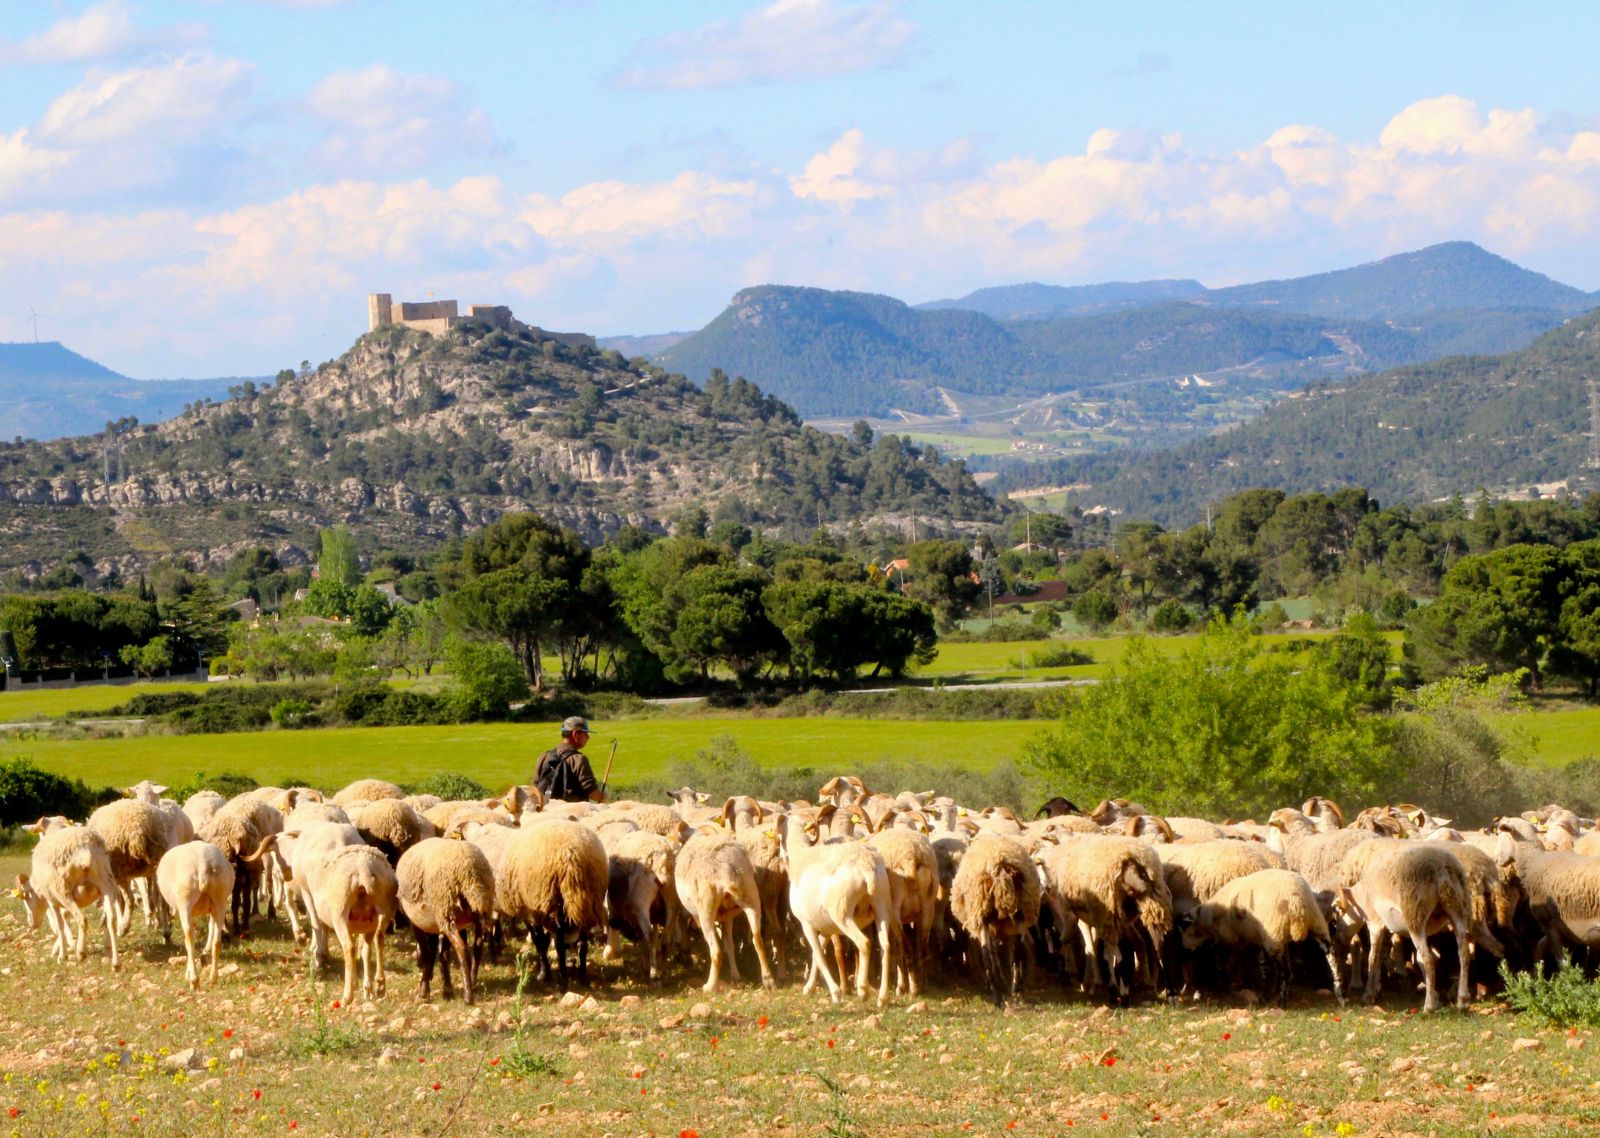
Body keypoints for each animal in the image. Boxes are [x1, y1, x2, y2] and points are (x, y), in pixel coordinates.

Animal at [13, 819, 119, 973]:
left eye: (25, 897)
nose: (31, 924)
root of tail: (85, 849)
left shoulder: (51, 900)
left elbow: (60, 925)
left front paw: (62, 955)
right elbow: (65, 921)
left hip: (63, 890)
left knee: (82, 918)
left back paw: (81, 952)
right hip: (106, 882)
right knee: (111, 920)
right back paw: (116, 963)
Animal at [154, 838, 233, 992]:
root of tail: (203, 862)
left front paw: (188, 973)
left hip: (186, 902)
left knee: (189, 939)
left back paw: (194, 981)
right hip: (220, 901)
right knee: (217, 941)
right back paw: (213, 977)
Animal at [499, 819, 604, 985]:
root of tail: (569, 857)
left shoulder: (532, 912)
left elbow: (540, 941)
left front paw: (544, 974)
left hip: (553, 901)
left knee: (560, 943)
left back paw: (563, 979)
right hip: (588, 902)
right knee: (582, 943)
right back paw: (582, 976)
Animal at [675, 825, 774, 992]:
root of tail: (725, 872)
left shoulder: (694, 915)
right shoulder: (727, 917)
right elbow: (729, 945)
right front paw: (735, 975)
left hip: (706, 910)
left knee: (716, 952)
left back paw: (709, 986)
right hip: (751, 899)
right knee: (758, 940)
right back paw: (768, 979)